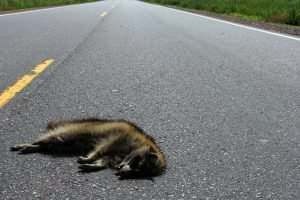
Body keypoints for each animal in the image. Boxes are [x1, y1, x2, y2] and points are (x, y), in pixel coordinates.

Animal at [10, 118, 166, 177]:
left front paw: (96, 164)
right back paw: (30, 144)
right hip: (72, 130)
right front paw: (92, 157)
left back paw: (36, 147)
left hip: (64, 144)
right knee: (51, 138)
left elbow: (107, 159)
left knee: (50, 145)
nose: (121, 170)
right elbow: (102, 148)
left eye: (137, 172)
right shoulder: (120, 137)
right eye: (136, 162)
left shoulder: (119, 156)